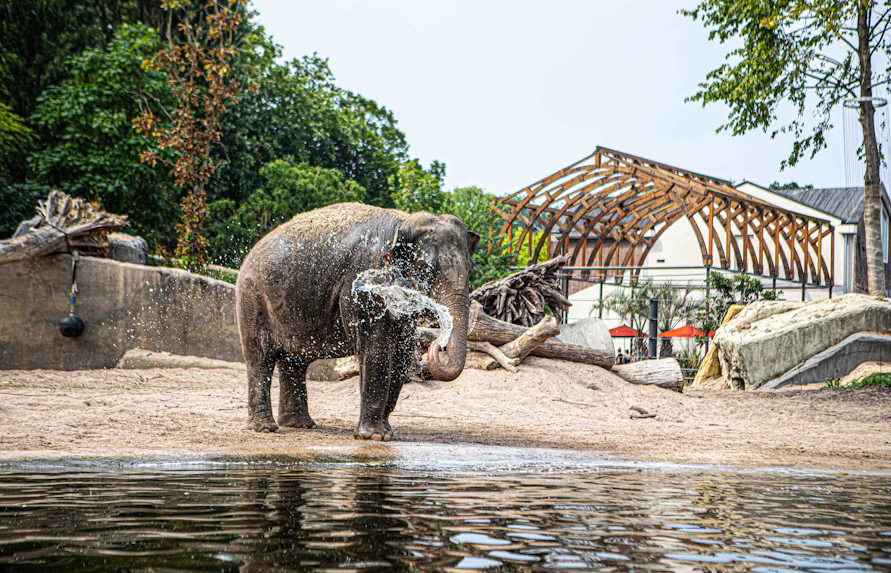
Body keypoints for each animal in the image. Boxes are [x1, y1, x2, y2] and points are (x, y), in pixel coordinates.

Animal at [235, 202, 480, 440]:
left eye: (470, 268)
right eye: (429, 269)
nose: (438, 346)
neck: (402, 223)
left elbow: (401, 355)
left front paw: (387, 432)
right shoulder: (362, 283)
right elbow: (376, 348)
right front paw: (373, 437)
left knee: (294, 362)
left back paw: (301, 425)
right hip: (251, 297)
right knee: (260, 358)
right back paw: (265, 429)